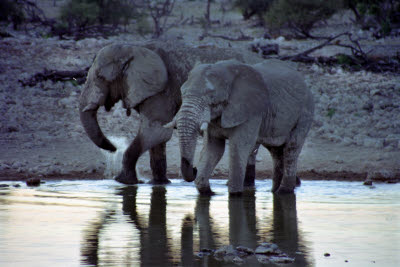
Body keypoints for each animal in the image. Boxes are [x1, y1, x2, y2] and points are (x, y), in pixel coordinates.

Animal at [80, 42, 262, 185]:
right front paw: (158, 183)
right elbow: (157, 137)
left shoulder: (161, 91)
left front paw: (123, 182)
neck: (133, 48)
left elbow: (156, 131)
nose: (113, 147)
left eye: (99, 76)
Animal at [166, 59, 316, 196]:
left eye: (211, 96)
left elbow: (238, 147)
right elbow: (214, 149)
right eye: (182, 93)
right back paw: (274, 191)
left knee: (292, 148)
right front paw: (208, 192)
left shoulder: (251, 111)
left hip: (305, 112)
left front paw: (235, 194)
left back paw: (284, 192)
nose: (194, 169)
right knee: (276, 151)